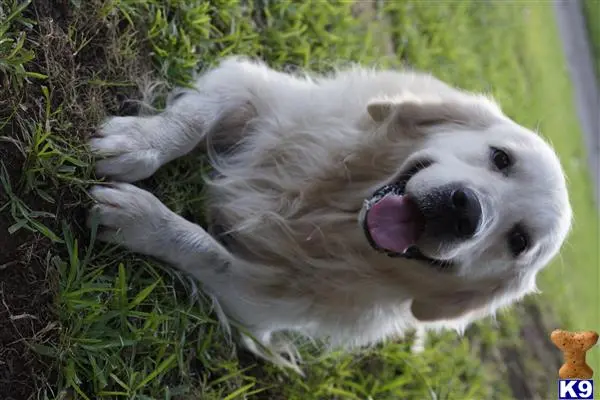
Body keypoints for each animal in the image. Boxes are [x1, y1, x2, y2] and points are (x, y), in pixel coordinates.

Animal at [89, 56, 572, 372]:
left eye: (518, 241)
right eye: (501, 158)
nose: (465, 211)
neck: (327, 205)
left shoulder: (253, 296)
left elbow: (204, 248)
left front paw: (137, 216)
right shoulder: (253, 87)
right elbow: (192, 119)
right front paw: (138, 142)